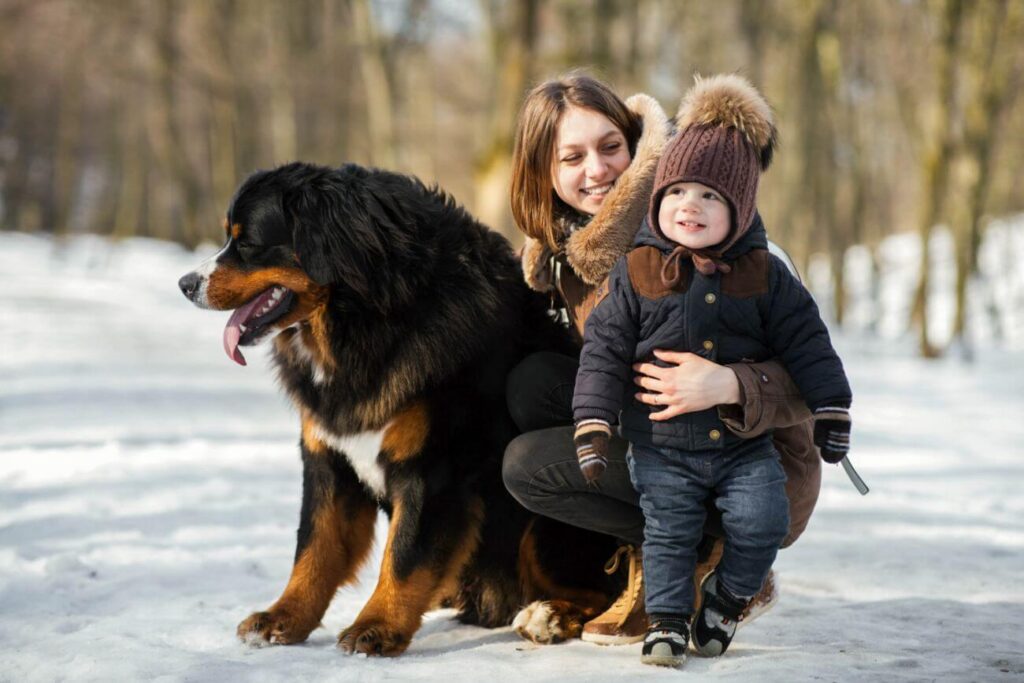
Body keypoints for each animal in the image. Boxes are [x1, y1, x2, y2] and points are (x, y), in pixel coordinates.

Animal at [178, 161, 614, 655]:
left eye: (248, 242)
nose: (185, 284)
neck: (363, 323)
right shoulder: (329, 460)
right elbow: (314, 547)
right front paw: (283, 616)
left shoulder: (432, 468)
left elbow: (403, 556)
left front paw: (376, 626)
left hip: (544, 529)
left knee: (596, 590)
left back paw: (548, 615)